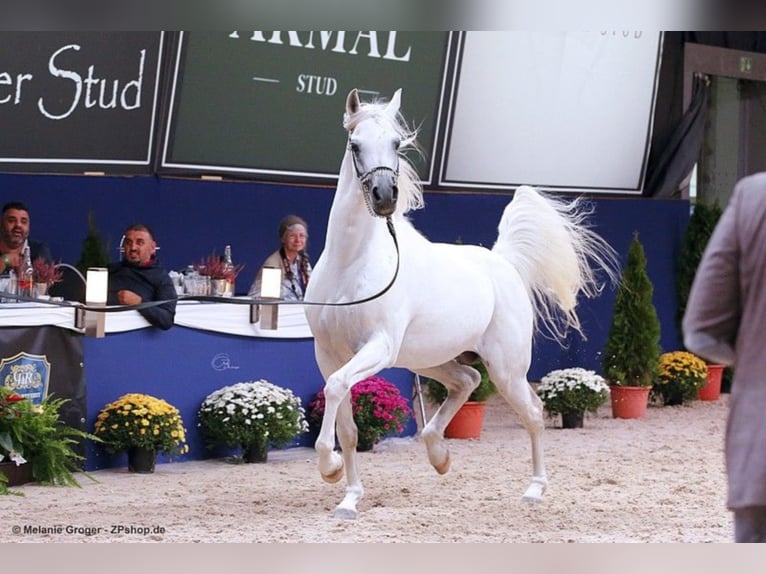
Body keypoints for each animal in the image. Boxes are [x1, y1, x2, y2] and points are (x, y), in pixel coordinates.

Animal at [304, 86, 620, 520]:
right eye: (356, 144)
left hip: (505, 369)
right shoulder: (328, 353)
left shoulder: (378, 347)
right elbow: (347, 427)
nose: (384, 197)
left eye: (396, 143)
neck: (350, 264)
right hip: (428, 359)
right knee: (467, 380)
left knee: (533, 413)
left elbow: (335, 390)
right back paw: (440, 455)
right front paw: (348, 495)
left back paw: (534, 489)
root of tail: (503, 263)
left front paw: (331, 468)